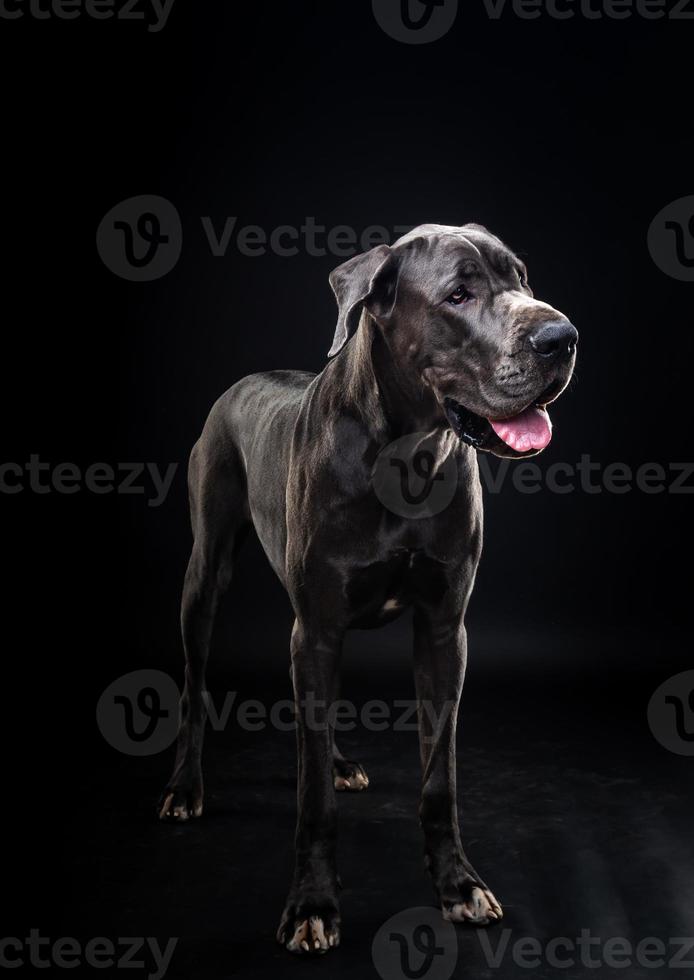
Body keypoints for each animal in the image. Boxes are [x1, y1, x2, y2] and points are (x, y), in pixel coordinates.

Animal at [160, 222, 580, 956]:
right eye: (458, 293)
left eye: (522, 279)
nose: (562, 337)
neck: (407, 454)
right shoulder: (318, 627)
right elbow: (313, 800)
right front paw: (312, 904)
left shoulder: (443, 630)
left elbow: (438, 776)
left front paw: (459, 884)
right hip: (206, 573)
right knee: (196, 679)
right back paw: (187, 786)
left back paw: (335, 759)